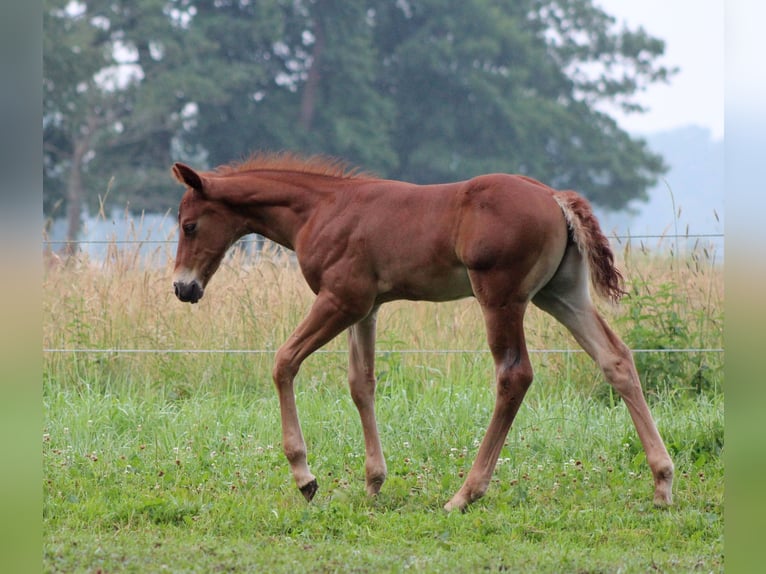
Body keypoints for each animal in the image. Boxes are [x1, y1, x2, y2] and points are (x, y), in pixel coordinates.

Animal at [170, 152, 674, 512]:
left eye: (189, 225)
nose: (183, 287)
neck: (321, 209)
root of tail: (553, 196)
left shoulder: (340, 300)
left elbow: (284, 361)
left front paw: (305, 477)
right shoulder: (366, 309)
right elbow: (361, 384)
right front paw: (373, 483)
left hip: (501, 297)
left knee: (514, 375)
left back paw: (465, 494)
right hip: (561, 294)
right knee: (616, 358)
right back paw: (663, 482)